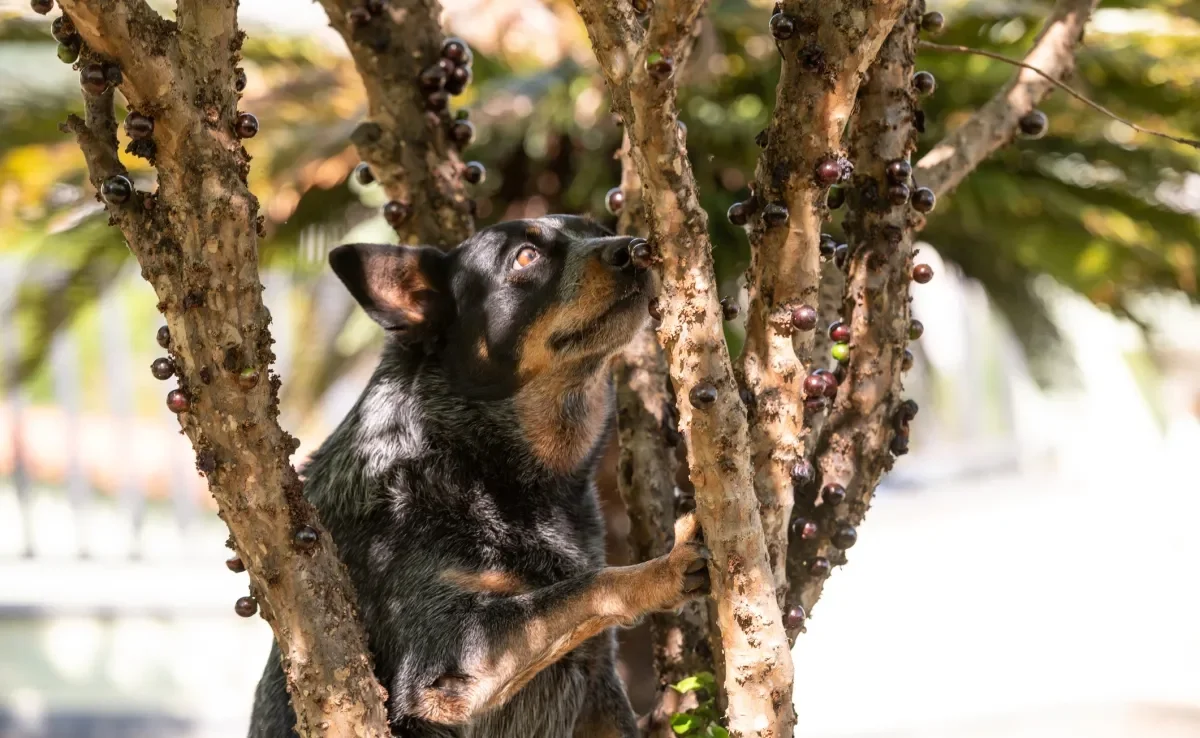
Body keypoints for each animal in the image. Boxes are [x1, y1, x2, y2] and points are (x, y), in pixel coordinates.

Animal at [248, 216, 705, 734]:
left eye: (599, 228)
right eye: (525, 256)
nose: (635, 248)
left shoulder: (597, 683)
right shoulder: (445, 659)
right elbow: (589, 585)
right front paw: (664, 568)